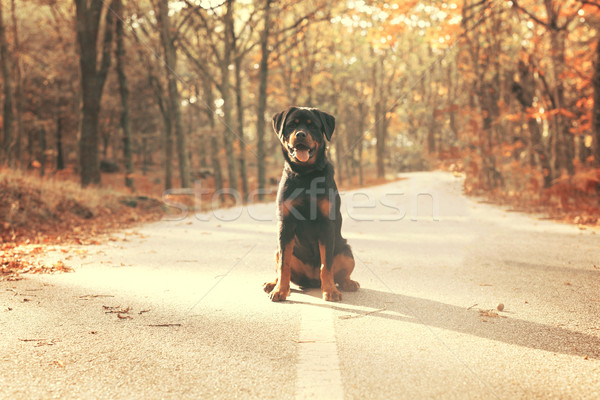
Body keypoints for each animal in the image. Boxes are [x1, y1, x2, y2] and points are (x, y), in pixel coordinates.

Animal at [264, 106, 360, 300]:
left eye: (313, 126)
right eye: (291, 124)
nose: (300, 134)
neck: (305, 174)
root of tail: (312, 280)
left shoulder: (326, 224)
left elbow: (326, 265)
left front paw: (330, 290)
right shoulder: (286, 224)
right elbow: (284, 265)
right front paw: (280, 290)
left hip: (346, 251)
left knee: (340, 274)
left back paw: (348, 283)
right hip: (277, 248)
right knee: (281, 266)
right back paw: (273, 284)